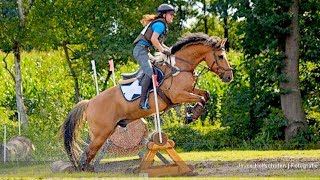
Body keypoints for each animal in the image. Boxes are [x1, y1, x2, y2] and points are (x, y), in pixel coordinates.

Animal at [61, 32, 234, 172]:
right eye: (220, 56)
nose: (229, 77)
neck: (180, 67)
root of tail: (89, 102)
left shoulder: (189, 90)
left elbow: (206, 94)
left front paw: (191, 112)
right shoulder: (178, 95)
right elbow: (201, 98)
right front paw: (191, 115)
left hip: (103, 132)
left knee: (88, 151)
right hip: (102, 133)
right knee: (89, 151)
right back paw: (85, 170)